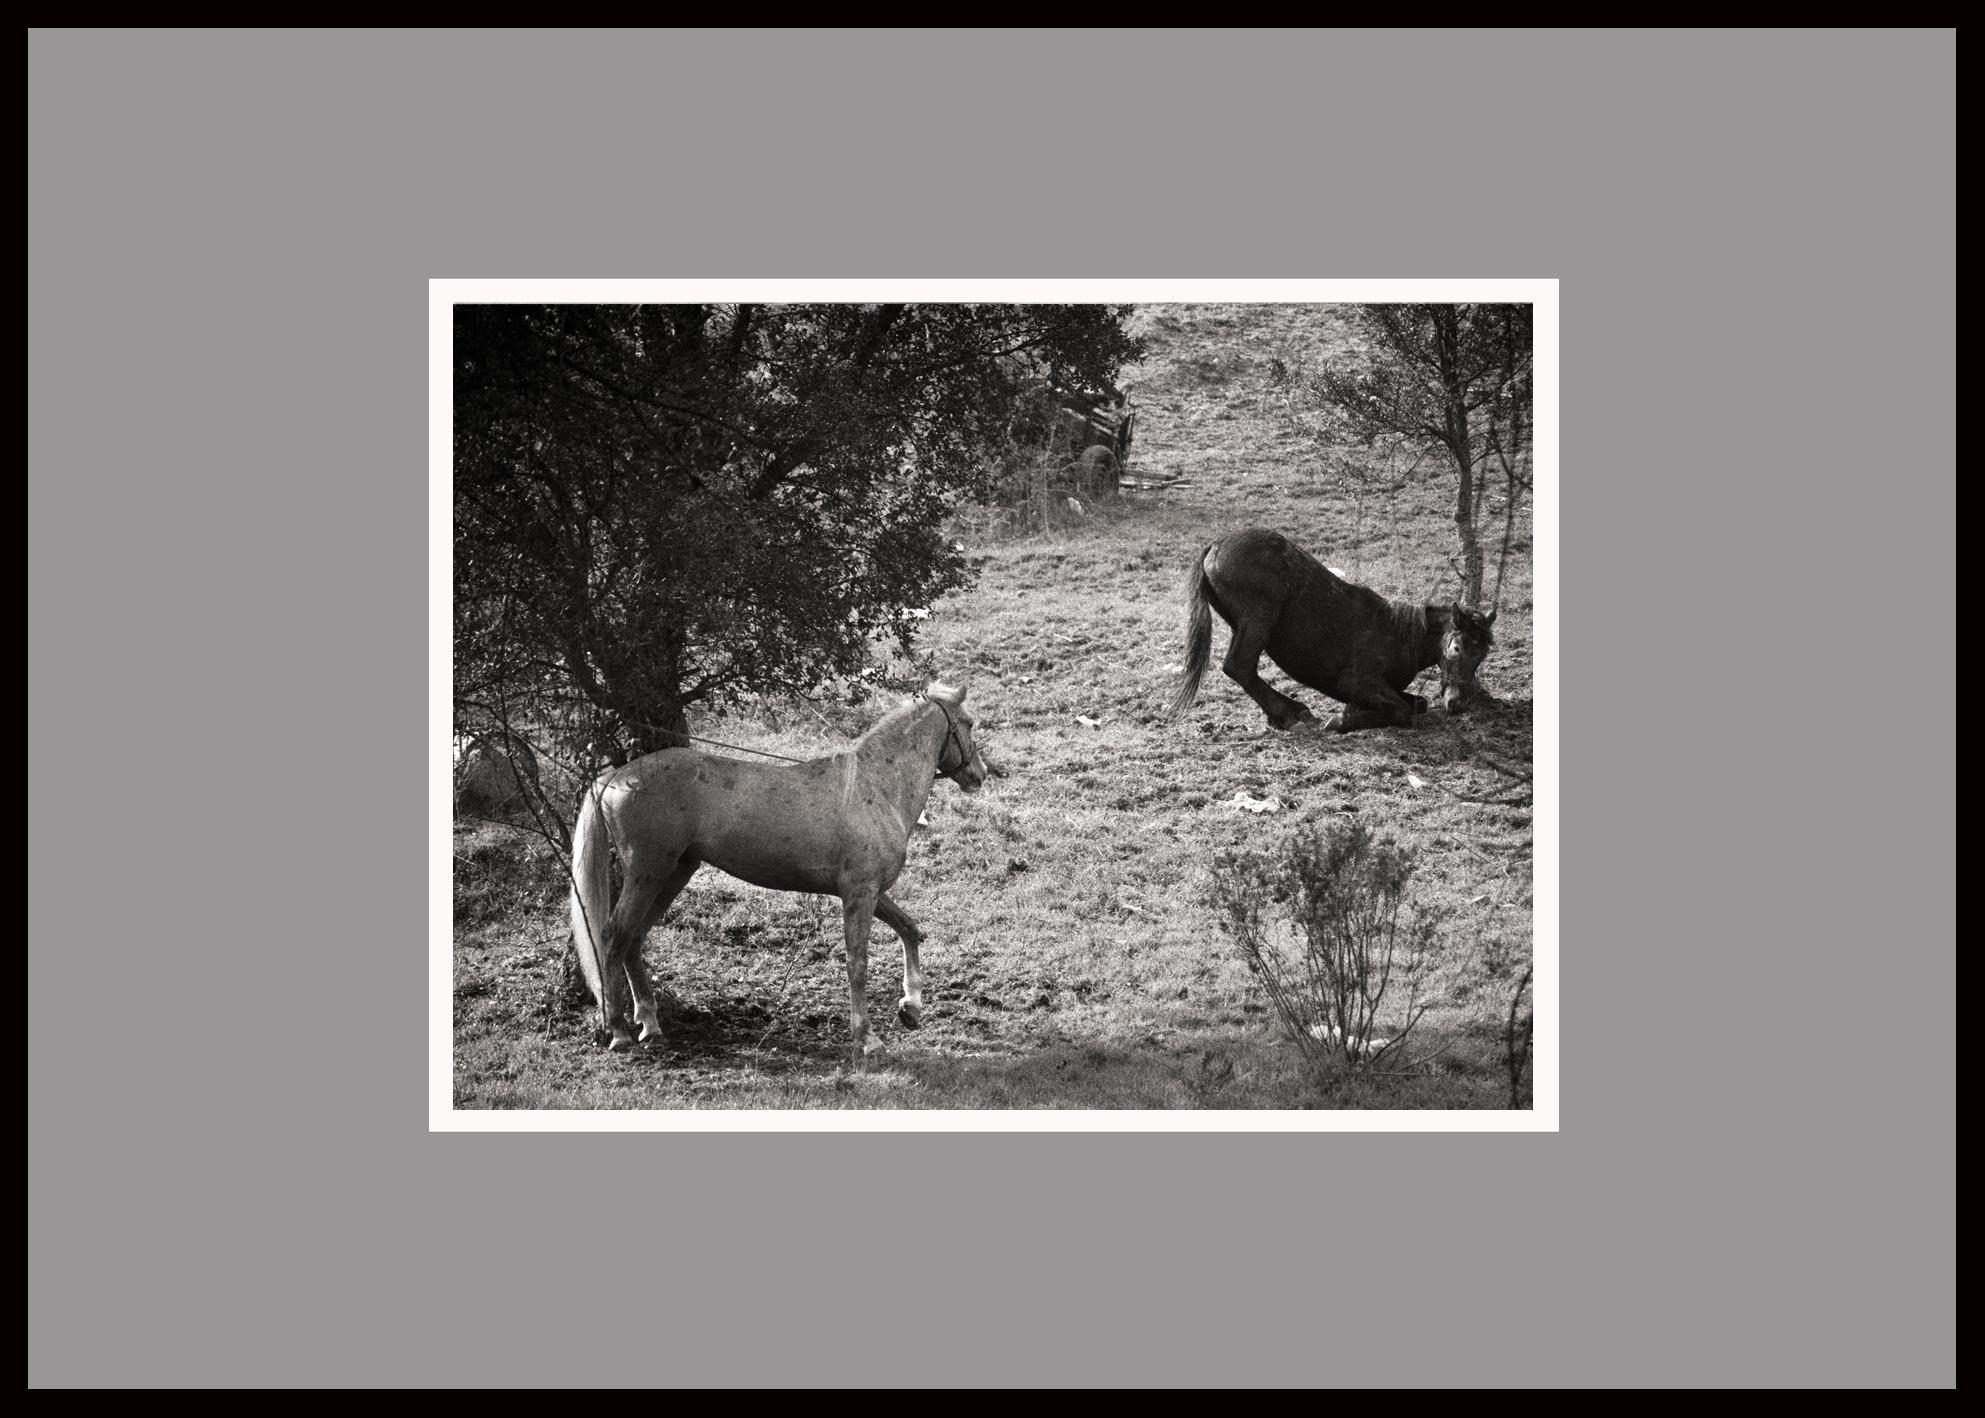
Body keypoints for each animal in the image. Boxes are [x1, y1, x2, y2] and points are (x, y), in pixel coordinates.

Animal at [1167, 528, 1492, 730]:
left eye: (1482, 655)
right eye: (1456, 647)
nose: (1456, 703)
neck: (1401, 636)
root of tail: (1216, 545)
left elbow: (1417, 704)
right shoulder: (1356, 683)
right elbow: (1401, 710)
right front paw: (1342, 721)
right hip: (1257, 619)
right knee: (1239, 666)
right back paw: (1290, 714)